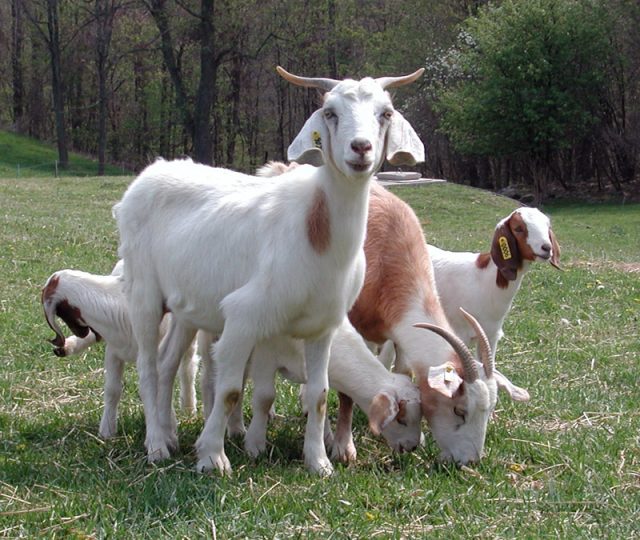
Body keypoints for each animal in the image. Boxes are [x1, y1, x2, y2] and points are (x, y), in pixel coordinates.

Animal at [41, 262, 196, 438]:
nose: (80, 332)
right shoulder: (113, 352)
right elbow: (112, 390)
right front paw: (107, 430)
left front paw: (168, 425)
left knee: (188, 367)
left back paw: (189, 407)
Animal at [198, 320, 422, 464]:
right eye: (401, 420)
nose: (413, 447)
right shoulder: (265, 356)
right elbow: (265, 397)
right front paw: (255, 447)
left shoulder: (314, 370)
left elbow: (319, 402)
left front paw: (326, 439)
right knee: (211, 382)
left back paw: (237, 428)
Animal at [430, 207, 560, 358]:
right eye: (518, 228)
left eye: (548, 226)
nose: (547, 248)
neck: (486, 280)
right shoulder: (459, 333)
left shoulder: (490, 335)